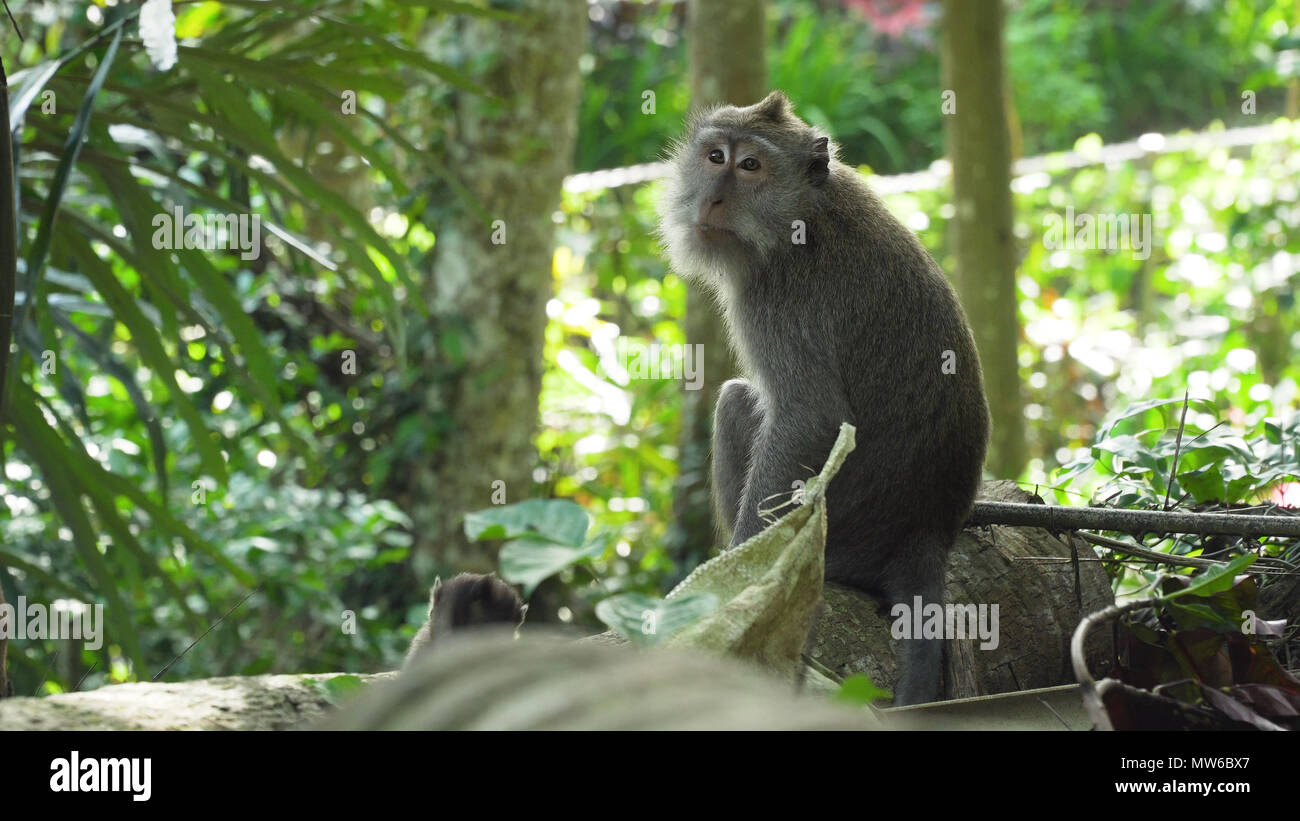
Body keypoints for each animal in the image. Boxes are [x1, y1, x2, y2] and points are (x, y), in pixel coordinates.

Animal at [657, 91, 990, 705]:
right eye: (715, 157)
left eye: (750, 166)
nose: (712, 199)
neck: (805, 213)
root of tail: (923, 534)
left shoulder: (779, 298)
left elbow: (809, 418)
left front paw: (741, 573)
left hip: (840, 538)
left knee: (735, 401)